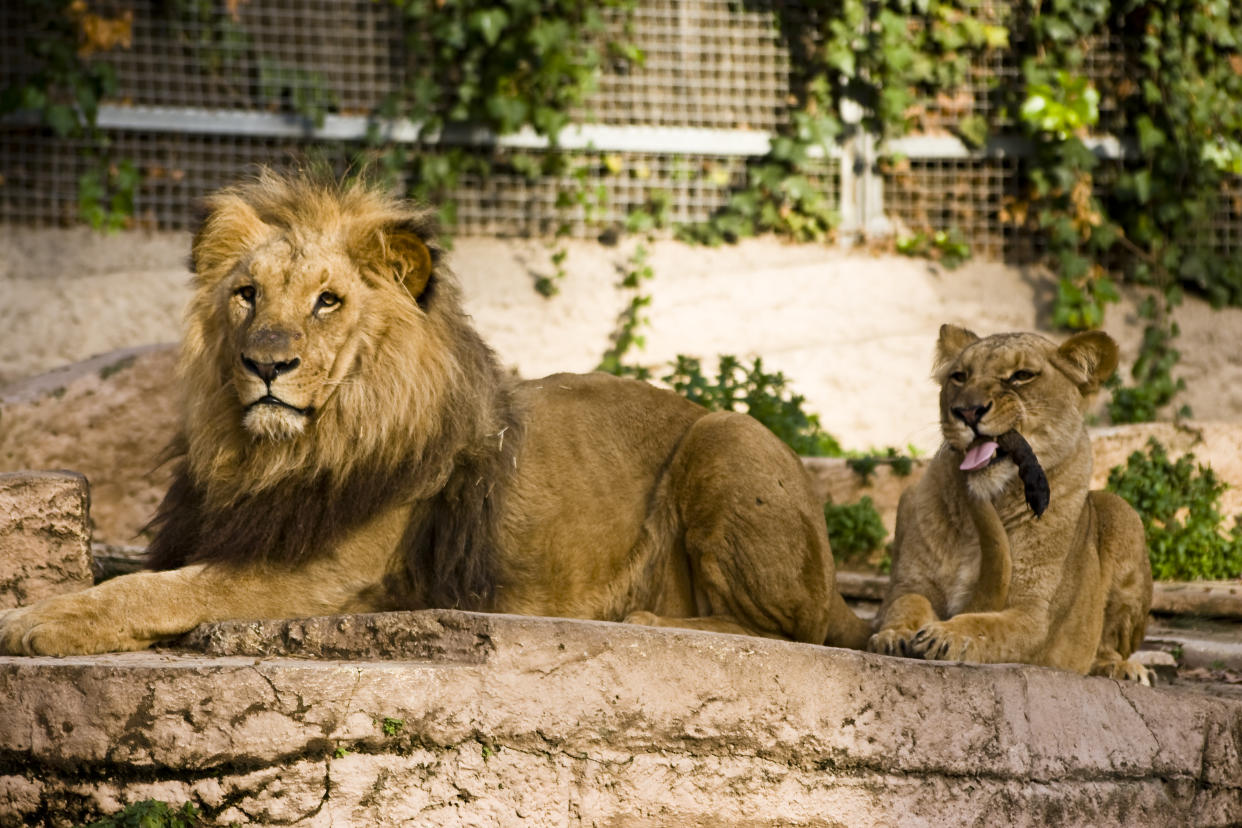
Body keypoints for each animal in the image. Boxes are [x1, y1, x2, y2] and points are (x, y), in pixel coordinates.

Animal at [0, 171, 869, 655]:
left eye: (327, 302)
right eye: (246, 295)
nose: (266, 364)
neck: (282, 453)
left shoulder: (323, 575)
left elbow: (161, 591)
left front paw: (38, 620)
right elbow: (144, 578)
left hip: (729, 435)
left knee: (798, 631)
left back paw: (650, 623)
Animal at [869, 327, 1147, 685]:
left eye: (1021, 376)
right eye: (960, 376)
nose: (967, 411)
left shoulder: (1035, 617)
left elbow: (987, 625)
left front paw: (946, 635)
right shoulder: (909, 584)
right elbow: (907, 604)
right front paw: (894, 635)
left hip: (1121, 512)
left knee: (1110, 646)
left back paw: (1123, 669)